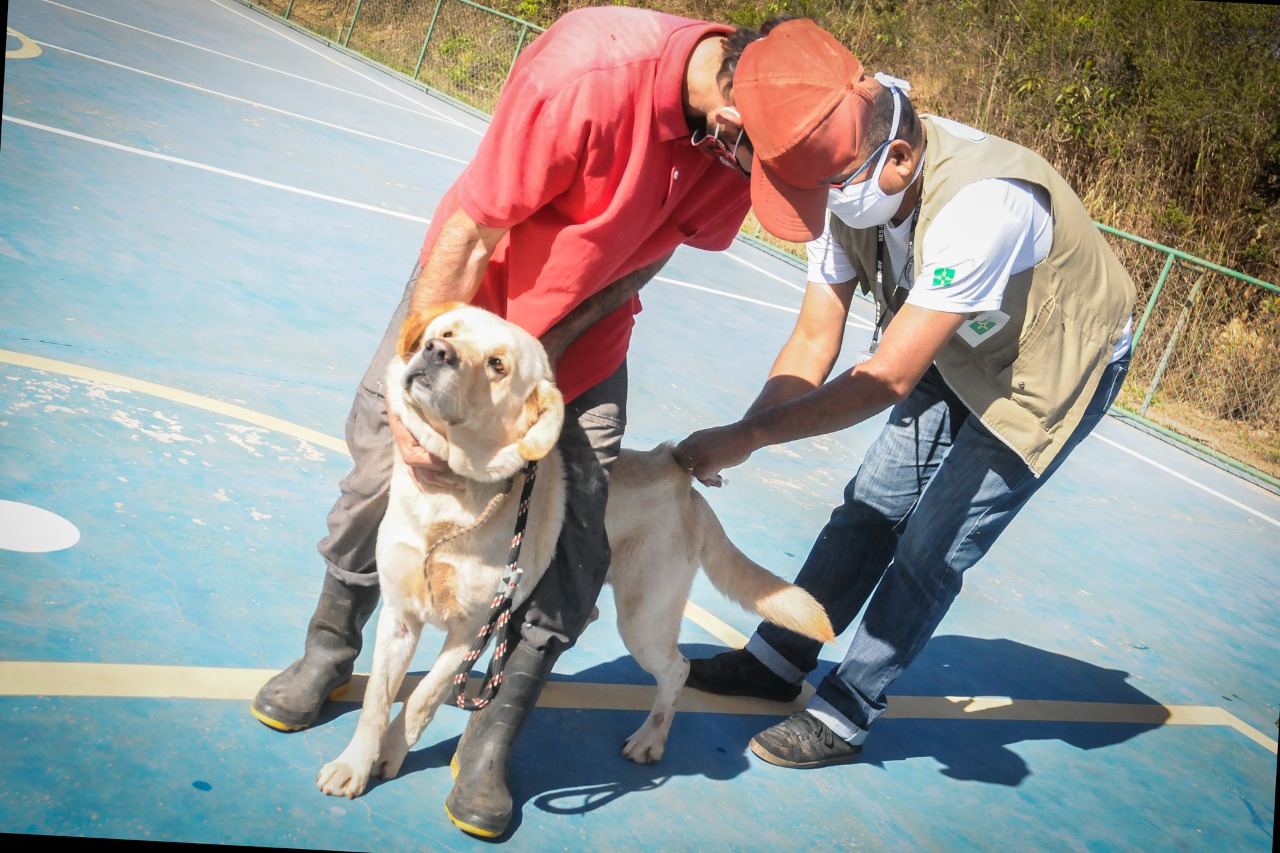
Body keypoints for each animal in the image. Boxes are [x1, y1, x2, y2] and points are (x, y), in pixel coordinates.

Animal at [318, 300, 834, 799]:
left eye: (498, 364)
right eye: (445, 333)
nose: (436, 351)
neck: (452, 500)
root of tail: (678, 474)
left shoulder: (470, 629)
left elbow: (422, 698)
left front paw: (390, 755)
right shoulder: (400, 614)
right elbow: (377, 699)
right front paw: (354, 766)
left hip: (644, 618)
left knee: (677, 669)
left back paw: (650, 739)